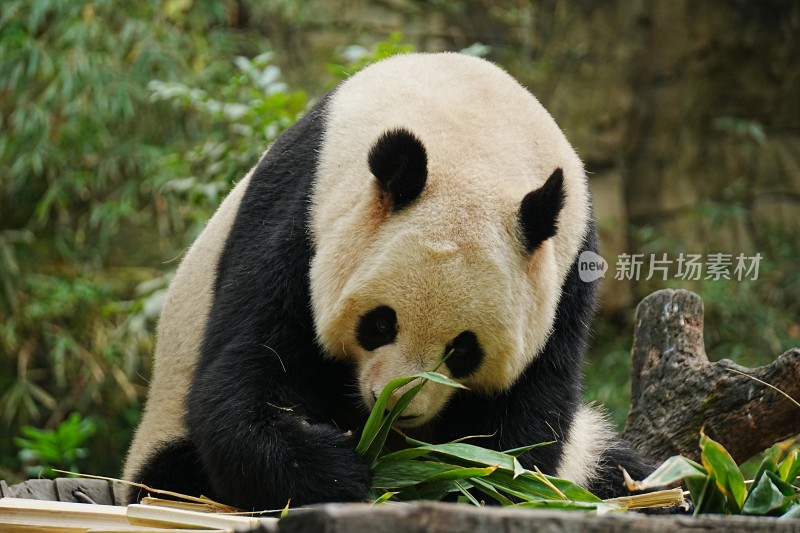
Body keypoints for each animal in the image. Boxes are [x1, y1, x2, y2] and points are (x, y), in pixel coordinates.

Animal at [123, 52, 648, 510]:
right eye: (380, 323)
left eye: (464, 349)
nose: (395, 405)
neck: (472, 135)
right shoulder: (300, 216)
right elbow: (249, 375)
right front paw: (341, 470)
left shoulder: (566, 275)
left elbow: (526, 419)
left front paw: (467, 481)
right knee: (173, 474)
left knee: (622, 471)